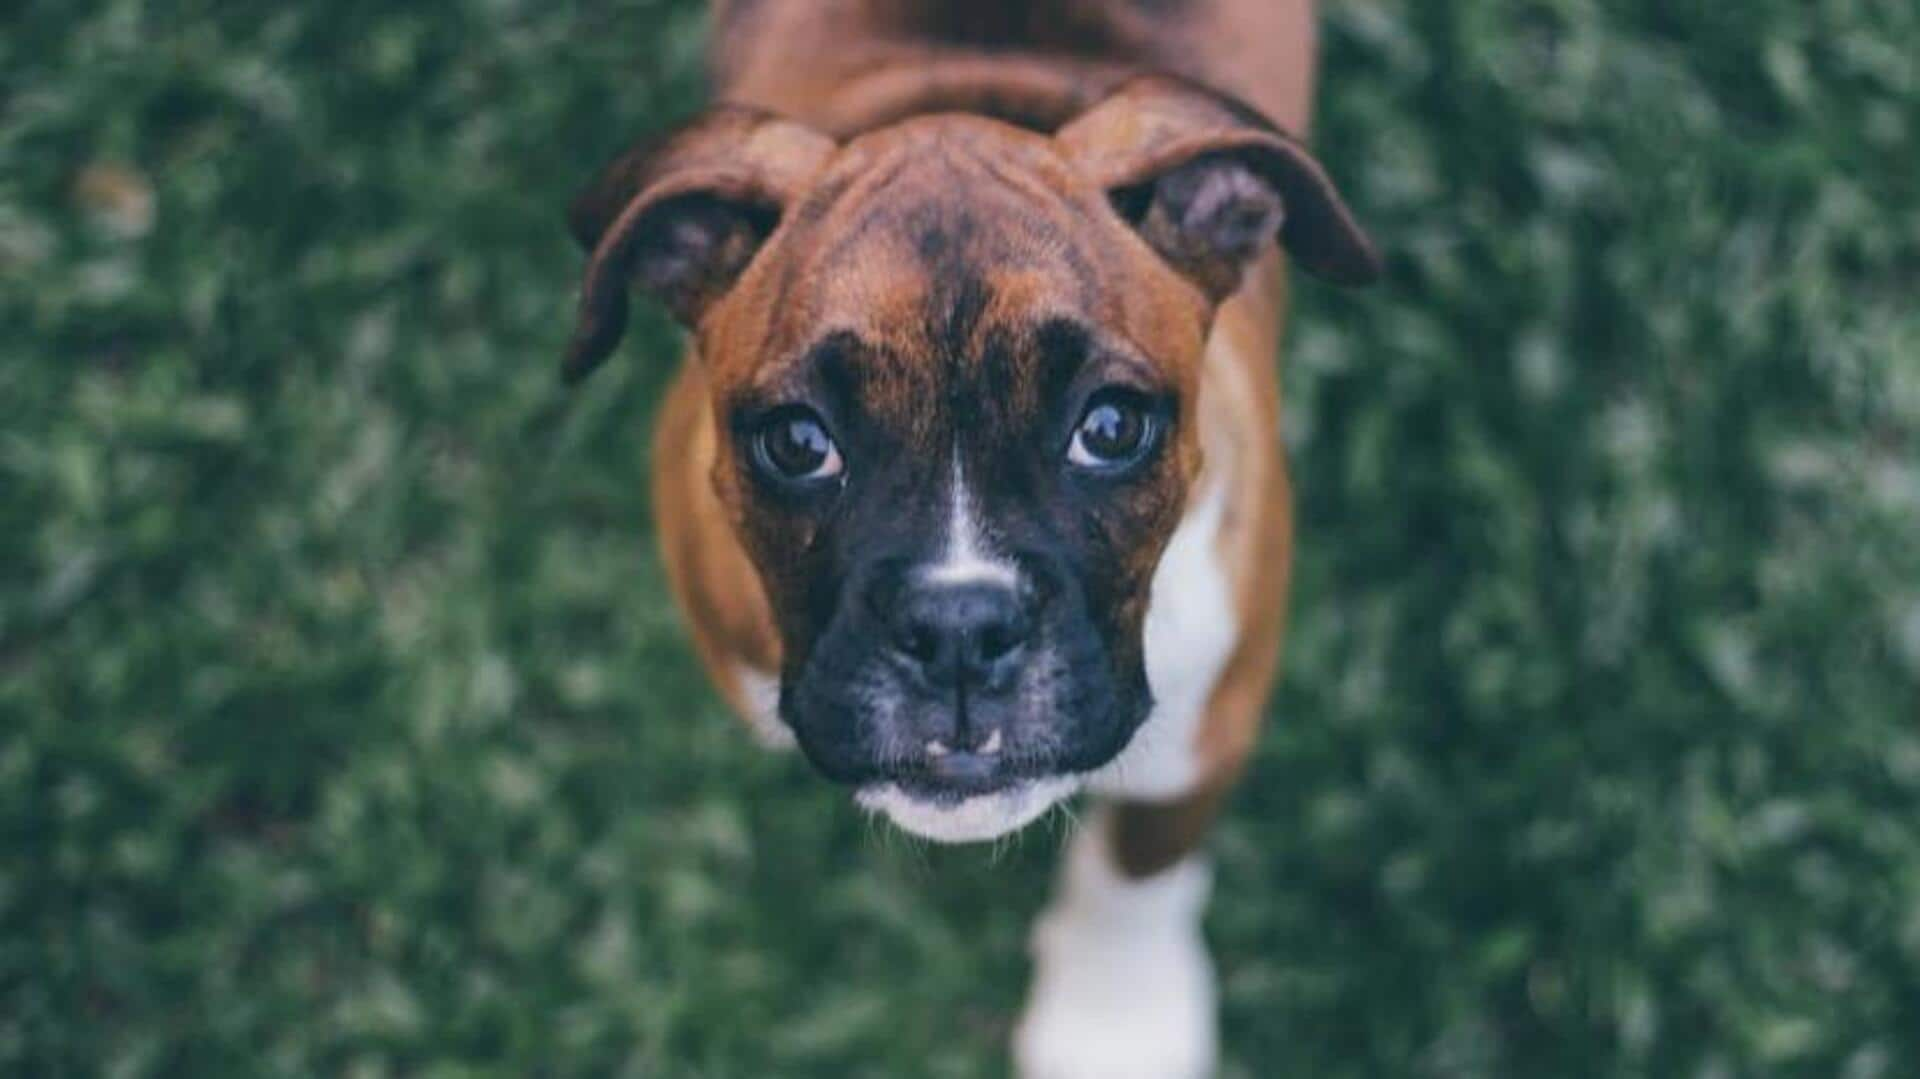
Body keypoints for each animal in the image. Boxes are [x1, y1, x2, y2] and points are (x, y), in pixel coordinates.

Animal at [560, 4, 1374, 1067]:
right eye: (797, 442)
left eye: (1112, 427)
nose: (957, 631)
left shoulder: (1211, 718)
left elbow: (1139, 866)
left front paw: (1116, 1021)